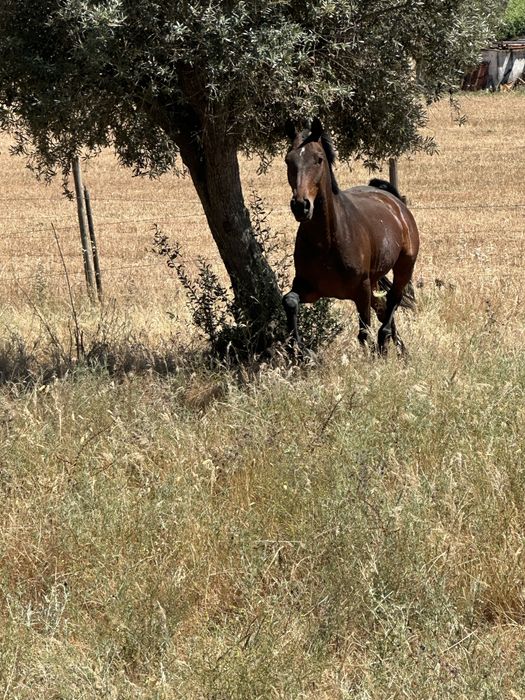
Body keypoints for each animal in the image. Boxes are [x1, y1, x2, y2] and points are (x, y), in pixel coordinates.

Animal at [282, 118, 420, 353]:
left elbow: (363, 332)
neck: (328, 241)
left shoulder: (361, 290)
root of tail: (396, 204)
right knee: (384, 309)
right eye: (288, 160)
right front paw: (300, 350)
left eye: (318, 159)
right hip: (375, 281)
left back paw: (385, 344)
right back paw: (401, 352)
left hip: (404, 266)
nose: (301, 206)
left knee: (392, 302)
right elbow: (289, 301)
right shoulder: (309, 288)